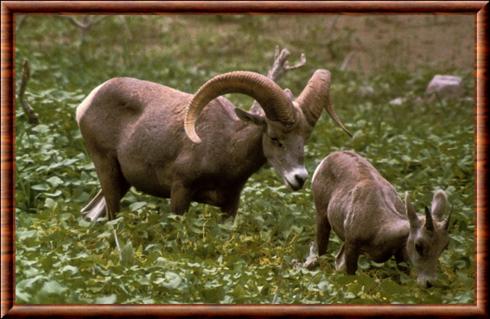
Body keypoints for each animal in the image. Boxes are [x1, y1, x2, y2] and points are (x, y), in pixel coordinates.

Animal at [76, 53, 350, 222]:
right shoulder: (180, 192)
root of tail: (87, 102)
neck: (224, 149)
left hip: (122, 182)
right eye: (275, 138)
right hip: (108, 171)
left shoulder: (230, 206)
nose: (299, 178)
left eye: (304, 139)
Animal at [310, 151, 452, 288]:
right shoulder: (352, 244)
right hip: (322, 215)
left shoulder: (401, 251)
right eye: (418, 246)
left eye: (444, 246)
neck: (379, 229)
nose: (429, 283)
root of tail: (327, 158)